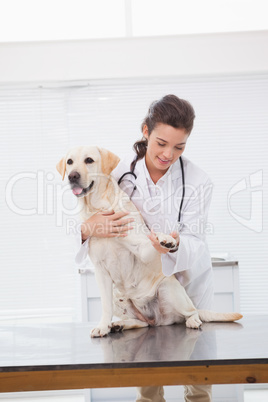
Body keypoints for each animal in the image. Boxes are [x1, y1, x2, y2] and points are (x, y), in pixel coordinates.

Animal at [57, 146, 243, 338]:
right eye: (70, 162)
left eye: (89, 160)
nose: (72, 176)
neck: (97, 207)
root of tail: (156, 320)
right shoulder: (101, 272)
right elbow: (105, 306)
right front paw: (103, 326)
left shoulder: (140, 248)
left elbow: (151, 242)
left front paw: (166, 239)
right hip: (118, 294)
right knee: (143, 323)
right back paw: (120, 325)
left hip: (168, 288)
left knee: (191, 312)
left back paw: (193, 320)